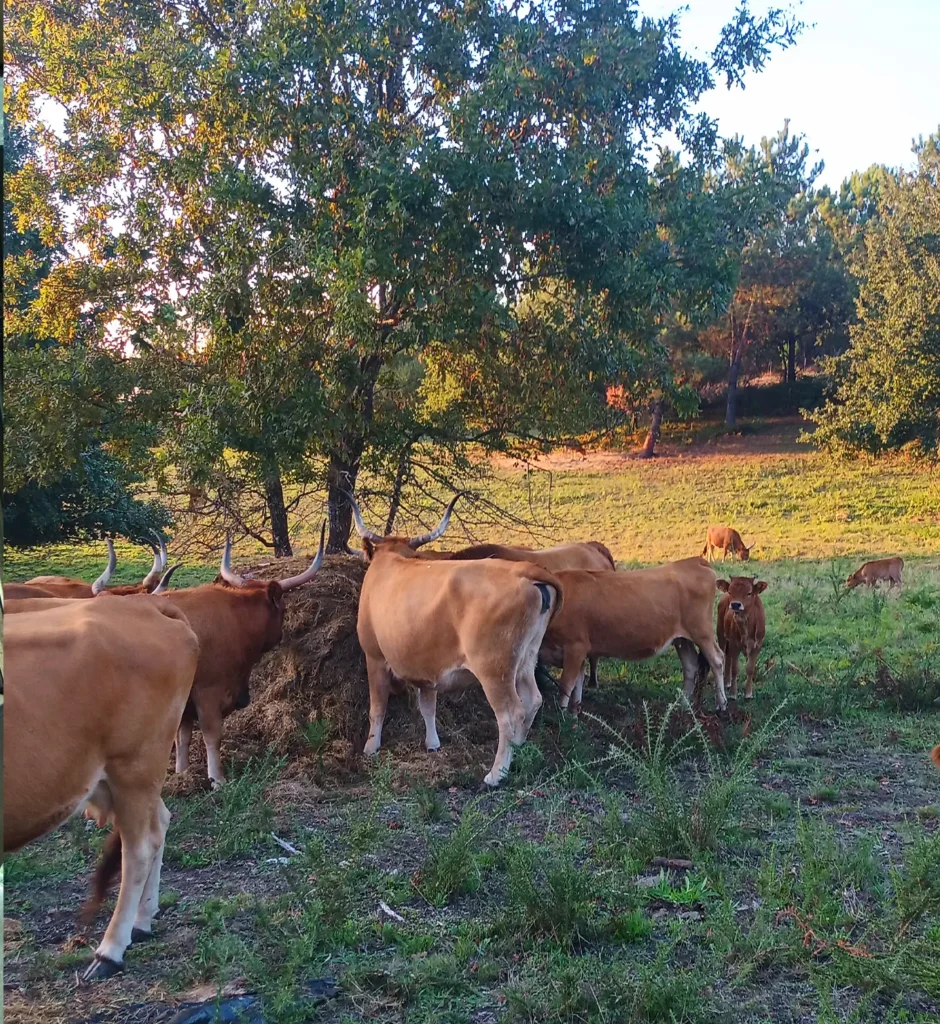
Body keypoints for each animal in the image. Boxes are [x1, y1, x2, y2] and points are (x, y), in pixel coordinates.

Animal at [3, 596, 200, 981]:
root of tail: (145, 603)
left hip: (134, 765)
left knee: (141, 848)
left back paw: (110, 950)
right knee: (161, 821)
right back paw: (141, 921)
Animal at [162, 525, 326, 788]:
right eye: (283, 609)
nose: (281, 635)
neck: (234, 619)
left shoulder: (185, 701)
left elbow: (183, 737)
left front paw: (182, 774)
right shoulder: (208, 692)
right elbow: (212, 735)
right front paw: (217, 779)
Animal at [349, 493, 563, 787]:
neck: (392, 559)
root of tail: (523, 571)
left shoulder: (375, 657)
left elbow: (377, 705)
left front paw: (371, 747)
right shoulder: (425, 669)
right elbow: (428, 706)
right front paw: (432, 743)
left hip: (494, 670)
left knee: (511, 714)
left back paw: (496, 773)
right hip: (526, 658)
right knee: (533, 700)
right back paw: (518, 748)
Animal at [537, 558, 727, 714]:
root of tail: (694, 561)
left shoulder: (575, 647)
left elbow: (567, 684)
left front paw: (561, 715)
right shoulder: (579, 653)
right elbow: (577, 685)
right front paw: (573, 715)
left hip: (701, 631)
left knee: (717, 660)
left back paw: (721, 704)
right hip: (682, 639)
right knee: (690, 665)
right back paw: (682, 706)